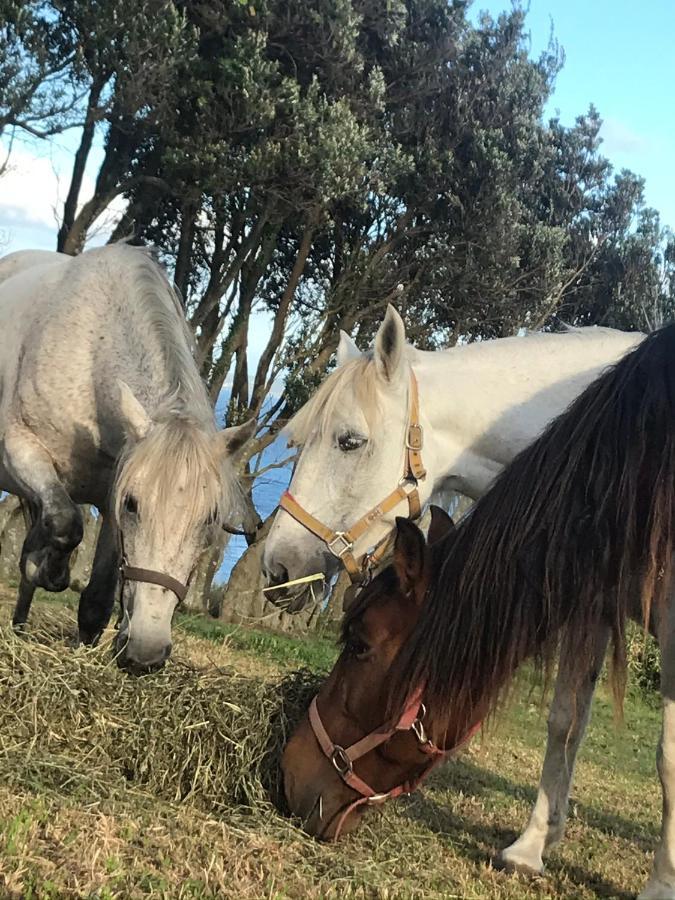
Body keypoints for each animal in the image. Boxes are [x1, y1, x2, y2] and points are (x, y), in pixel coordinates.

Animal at [0, 244, 254, 668]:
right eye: (134, 505)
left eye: (208, 519)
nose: (146, 652)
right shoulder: (20, 451)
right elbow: (67, 522)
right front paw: (51, 570)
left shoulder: (108, 497)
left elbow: (97, 601)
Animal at [282, 320, 675, 896]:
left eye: (349, 441)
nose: (278, 563)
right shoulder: (590, 602)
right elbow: (565, 723)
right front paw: (531, 848)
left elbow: (668, 757)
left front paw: (662, 882)